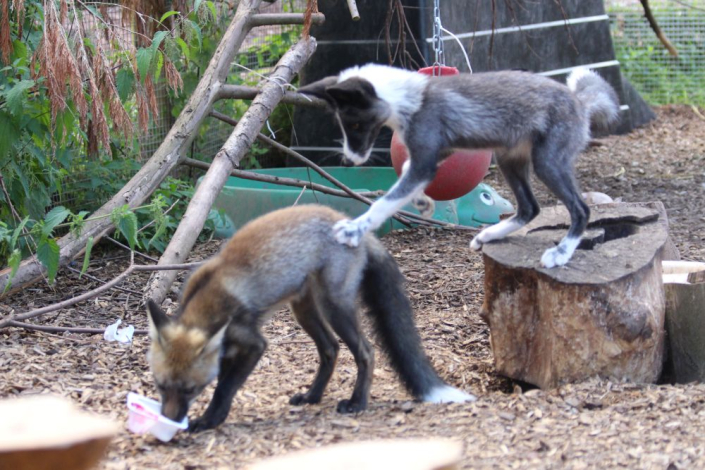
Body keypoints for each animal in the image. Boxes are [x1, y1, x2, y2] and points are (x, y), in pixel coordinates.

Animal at [146, 204, 472, 432]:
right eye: (160, 386)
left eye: (189, 390)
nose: (169, 419)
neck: (208, 301)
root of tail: (354, 225)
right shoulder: (226, 350)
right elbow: (222, 384)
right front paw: (212, 418)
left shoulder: (253, 344)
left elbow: (224, 388)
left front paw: (209, 421)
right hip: (303, 310)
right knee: (331, 349)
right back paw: (313, 397)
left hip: (334, 307)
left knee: (366, 352)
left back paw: (357, 403)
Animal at [300, 64, 620, 266]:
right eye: (343, 125)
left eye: (355, 123)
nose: (350, 159)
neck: (409, 99)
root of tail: (579, 101)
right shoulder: (437, 153)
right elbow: (403, 175)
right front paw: (421, 201)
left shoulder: (426, 161)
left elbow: (384, 202)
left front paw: (354, 229)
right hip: (509, 161)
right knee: (530, 208)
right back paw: (488, 235)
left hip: (547, 164)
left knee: (581, 209)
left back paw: (561, 254)